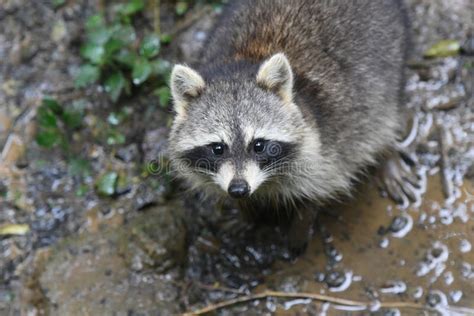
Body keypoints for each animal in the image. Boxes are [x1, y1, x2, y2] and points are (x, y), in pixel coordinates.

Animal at [168, 0, 410, 252]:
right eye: (217, 148)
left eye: (258, 145)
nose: (239, 189)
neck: (240, 65)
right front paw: (247, 213)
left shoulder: (324, 150)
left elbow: (315, 192)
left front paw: (299, 229)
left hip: (388, 65)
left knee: (381, 117)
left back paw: (387, 153)